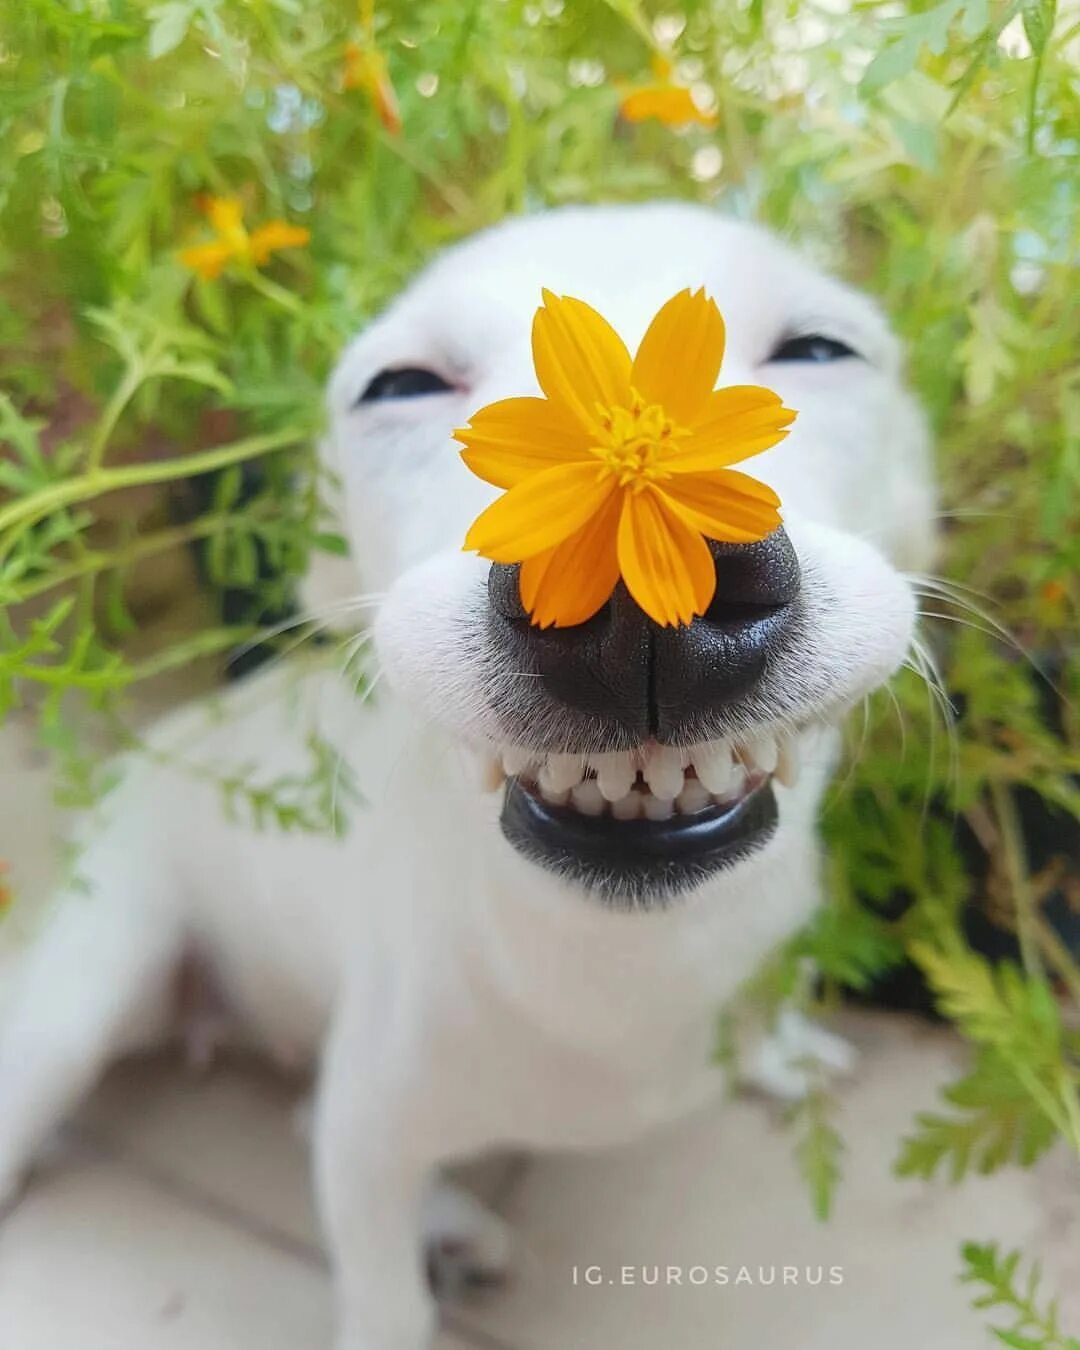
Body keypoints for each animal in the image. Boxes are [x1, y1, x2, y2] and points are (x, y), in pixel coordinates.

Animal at [0, 202, 928, 1350]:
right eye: (398, 384)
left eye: (820, 351)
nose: (633, 615)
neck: (630, 967)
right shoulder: (366, 1141)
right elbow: (382, 1295)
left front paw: (780, 1050)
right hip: (81, 999)